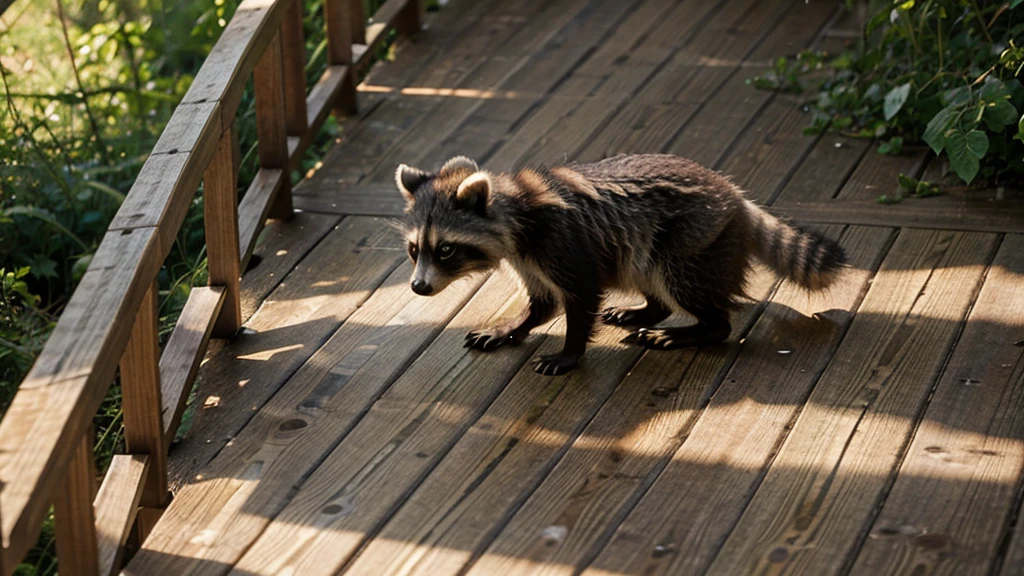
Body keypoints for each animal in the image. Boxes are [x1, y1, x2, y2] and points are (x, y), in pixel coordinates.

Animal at [395, 154, 843, 375]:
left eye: (446, 249)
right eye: (416, 249)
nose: (418, 287)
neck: (513, 204)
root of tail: (735, 196)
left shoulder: (560, 240)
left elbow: (581, 294)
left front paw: (571, 351)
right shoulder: (527, 257)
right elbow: (542, 302)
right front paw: (514, 326)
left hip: (695, 234)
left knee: (680, 278)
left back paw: (704, 326)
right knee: (643, 269)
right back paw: (650, 307)